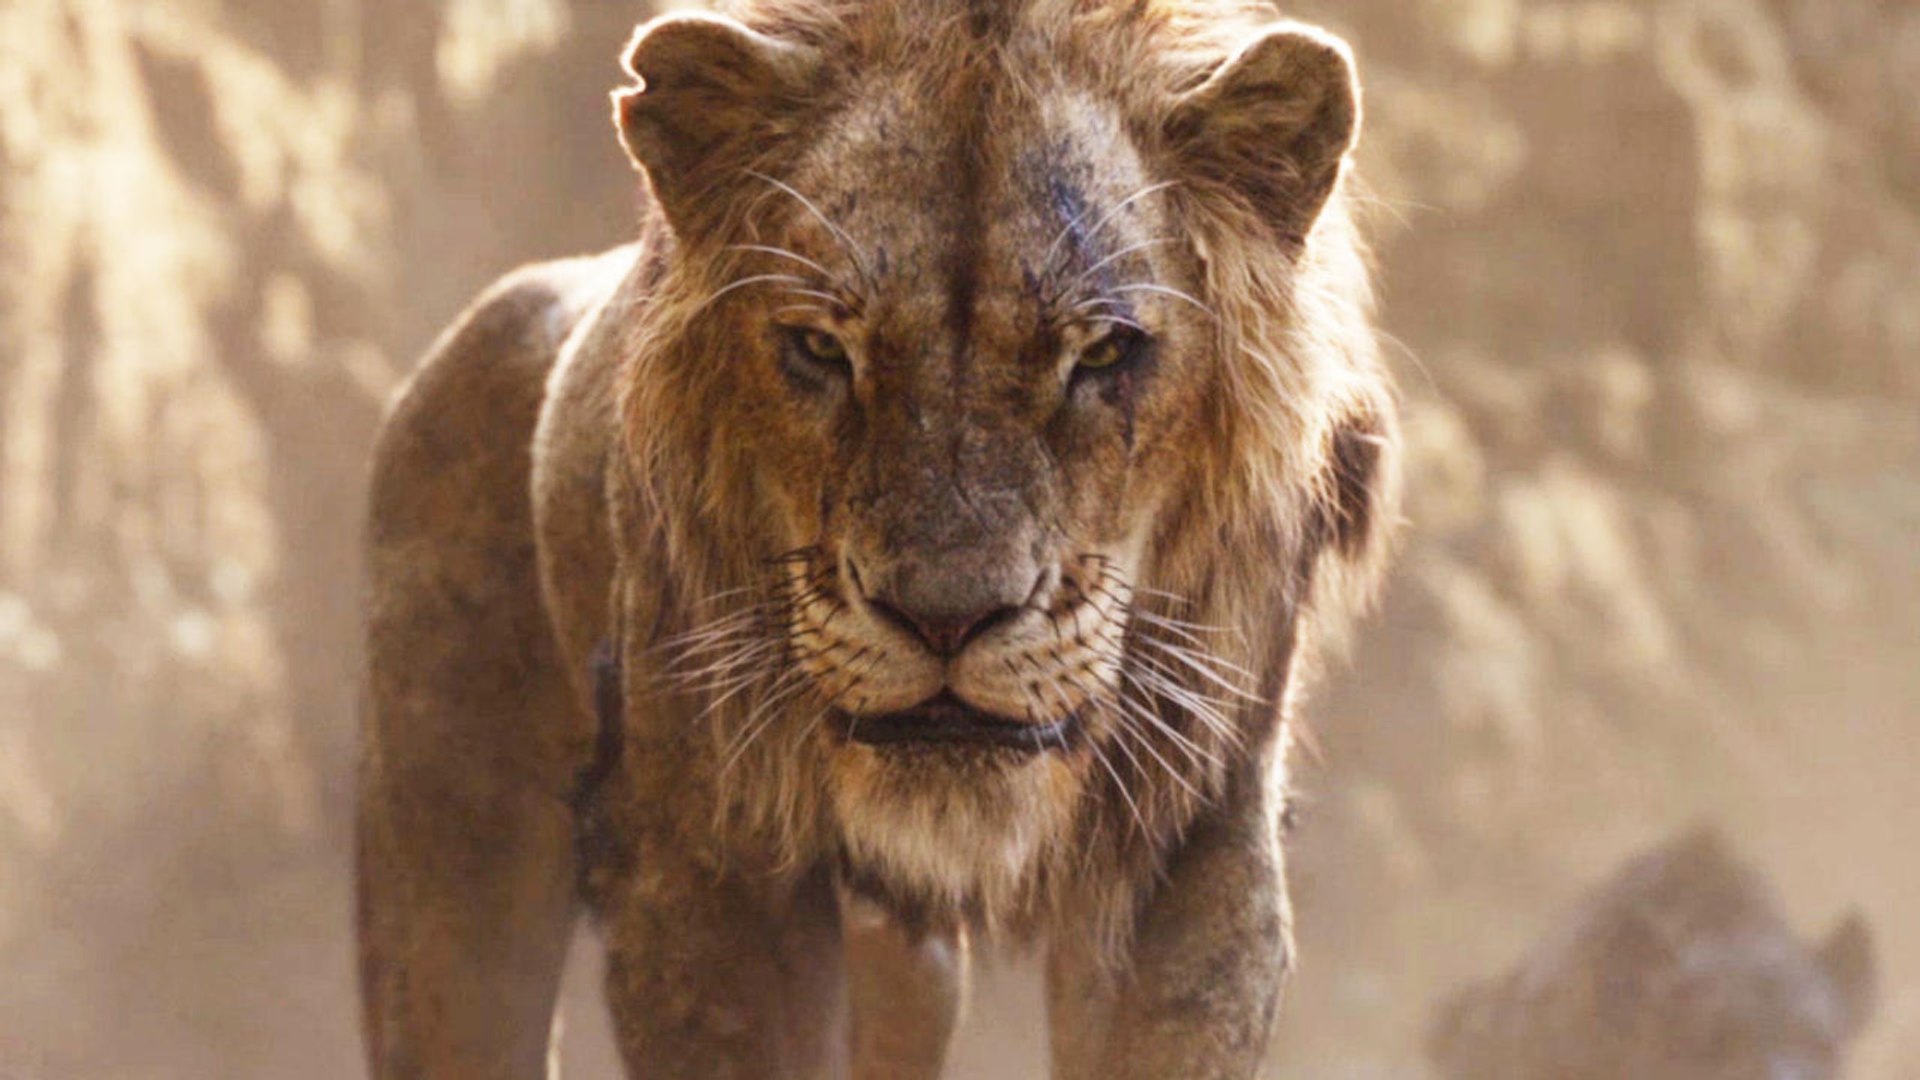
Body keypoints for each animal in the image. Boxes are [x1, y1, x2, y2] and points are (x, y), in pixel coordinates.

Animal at [355, 1, 1399, 1077]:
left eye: (1104, 352)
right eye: (821, 348)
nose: (945, 619)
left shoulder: (1191, 849)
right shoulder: (709, 873)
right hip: (455, 877)